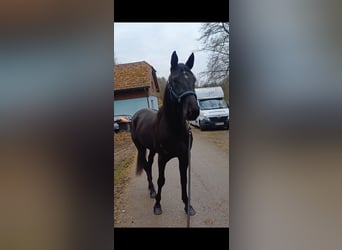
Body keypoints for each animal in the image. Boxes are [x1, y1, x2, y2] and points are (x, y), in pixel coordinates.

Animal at [131, 50, 200, 215]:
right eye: (174, 80)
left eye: (193, 79)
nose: (193, 111)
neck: (174, 128)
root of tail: (136, 115)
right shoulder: (162, 158)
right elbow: (161, 180)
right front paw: (157, 205)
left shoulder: (184, 157)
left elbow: (183, 180)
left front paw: (187, 205)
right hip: (141, 148)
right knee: (146, 166)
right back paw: (152, 191)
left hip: (151, 150)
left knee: (149, 164)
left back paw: (151, 189)